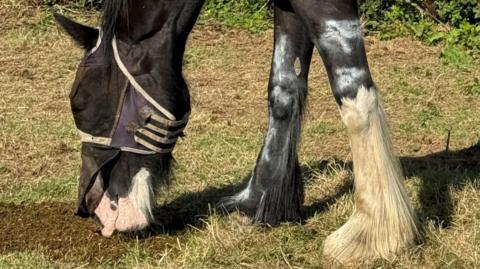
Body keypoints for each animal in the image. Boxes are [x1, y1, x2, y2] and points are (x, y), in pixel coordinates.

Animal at [53, 0, 420, 262]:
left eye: (80, 102)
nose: (91, 209)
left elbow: (354, 93)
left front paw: (374, 232)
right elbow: (283, 88)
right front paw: (260, 201)